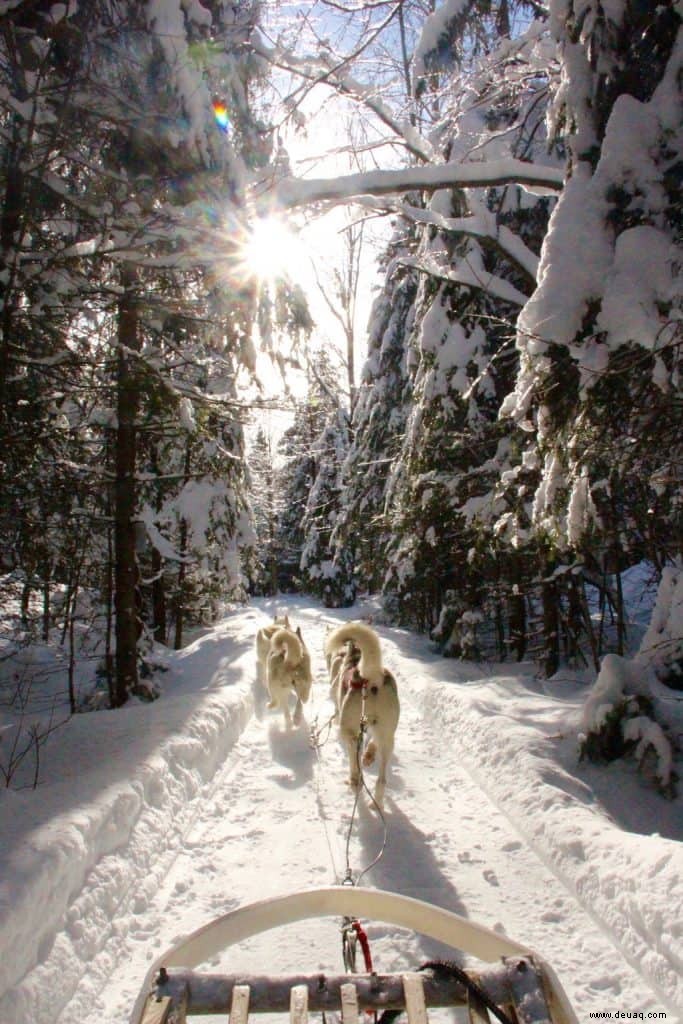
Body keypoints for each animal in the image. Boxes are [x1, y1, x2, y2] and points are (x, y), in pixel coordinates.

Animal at [325, 618, 401, 811]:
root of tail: (373, 679)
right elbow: (371, 742)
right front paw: (369, 755)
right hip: (387, 736)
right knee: (382, 779)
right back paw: (377, 802)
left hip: (350, 731)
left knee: (354, 760)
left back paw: (354, 780)